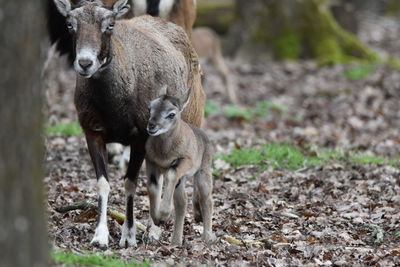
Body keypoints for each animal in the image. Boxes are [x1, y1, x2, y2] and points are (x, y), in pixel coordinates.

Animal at [51, 0, 205, 248]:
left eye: (110, 25)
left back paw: (156, 229)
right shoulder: (93, 133)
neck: (113, 107)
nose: (85, 63)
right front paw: (100, 237)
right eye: (70, 24)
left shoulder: (140, 137)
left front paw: (128, 236)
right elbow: (103, 183)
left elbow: (131, 183)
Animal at [144, 86, 212, 247]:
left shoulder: (184, 161)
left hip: (203, 172)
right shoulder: (151, 163)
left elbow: (170, 173)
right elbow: (153, 187)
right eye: (150, 108)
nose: (151, 126)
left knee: (207, 200)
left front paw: (163, 214)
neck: (164, 153)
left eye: (171, 114)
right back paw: (176, 241)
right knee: (182, 202)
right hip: (182, 181)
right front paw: (157, 218)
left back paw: (207, 238)